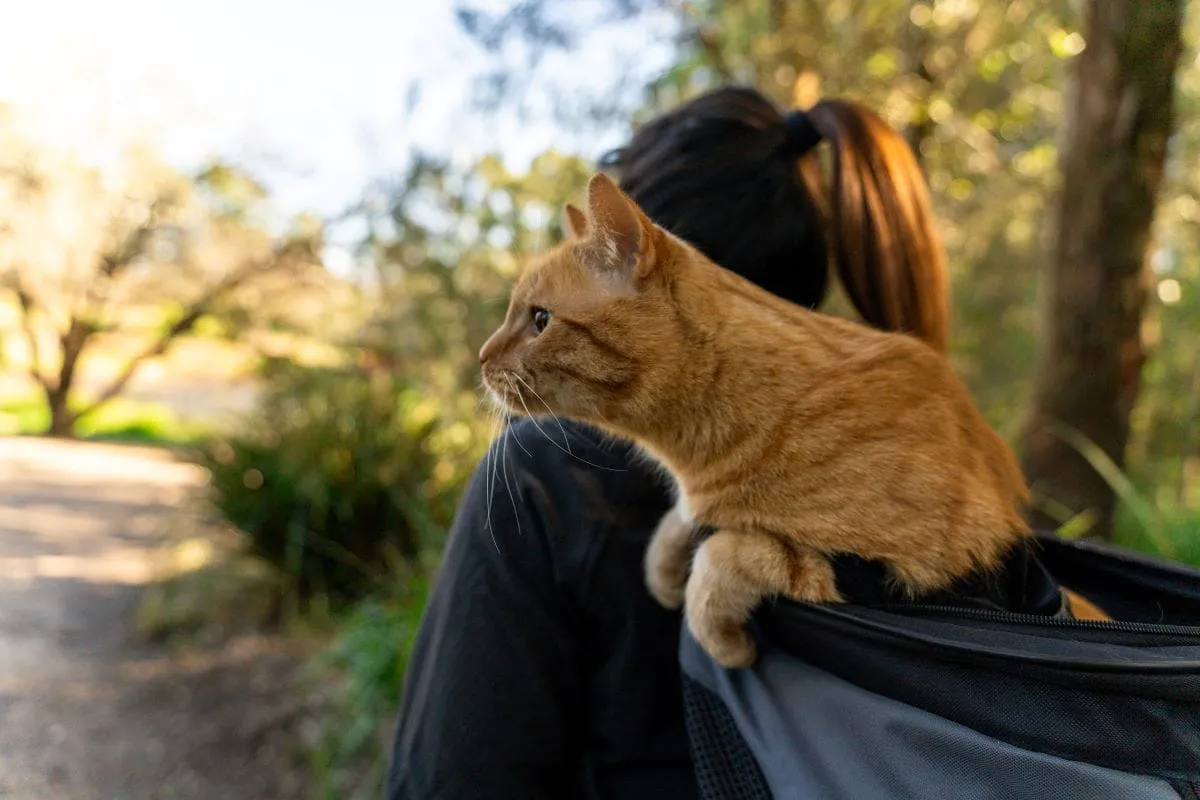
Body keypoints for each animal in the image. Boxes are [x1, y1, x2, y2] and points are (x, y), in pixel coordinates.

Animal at [482, 175, 1036, 671]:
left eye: (539, 320)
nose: (482, 360)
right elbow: (683, 523)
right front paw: (663, 569)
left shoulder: (895, 576)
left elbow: (722, 558)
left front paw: (724, 642)